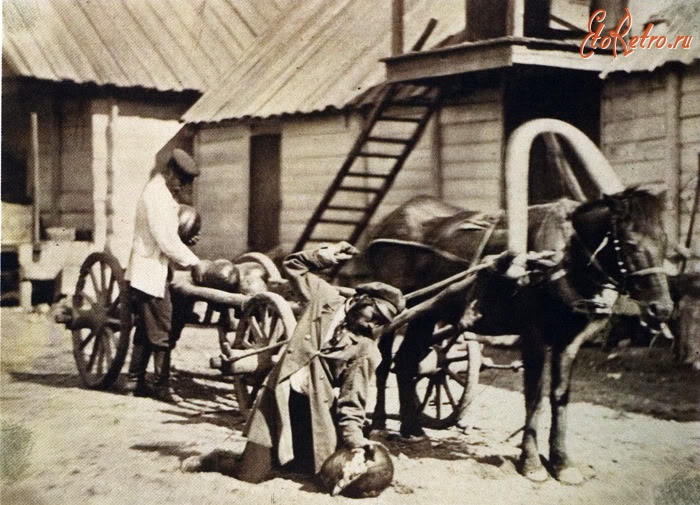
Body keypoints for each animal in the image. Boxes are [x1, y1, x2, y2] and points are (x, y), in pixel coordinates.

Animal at [366, 188, 673, 484]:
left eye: (665, 242)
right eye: (630, 244)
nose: (662, 308)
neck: (563, 260)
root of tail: (391, 219)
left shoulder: (569, 342)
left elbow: (560, 398)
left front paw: (561, 463)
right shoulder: (533, 337)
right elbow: (534, 398)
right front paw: (532, 463)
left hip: (427, 315)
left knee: (406, 362)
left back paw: (412, 427)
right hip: (392, 306)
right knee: (384, 363)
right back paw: (380, 421)